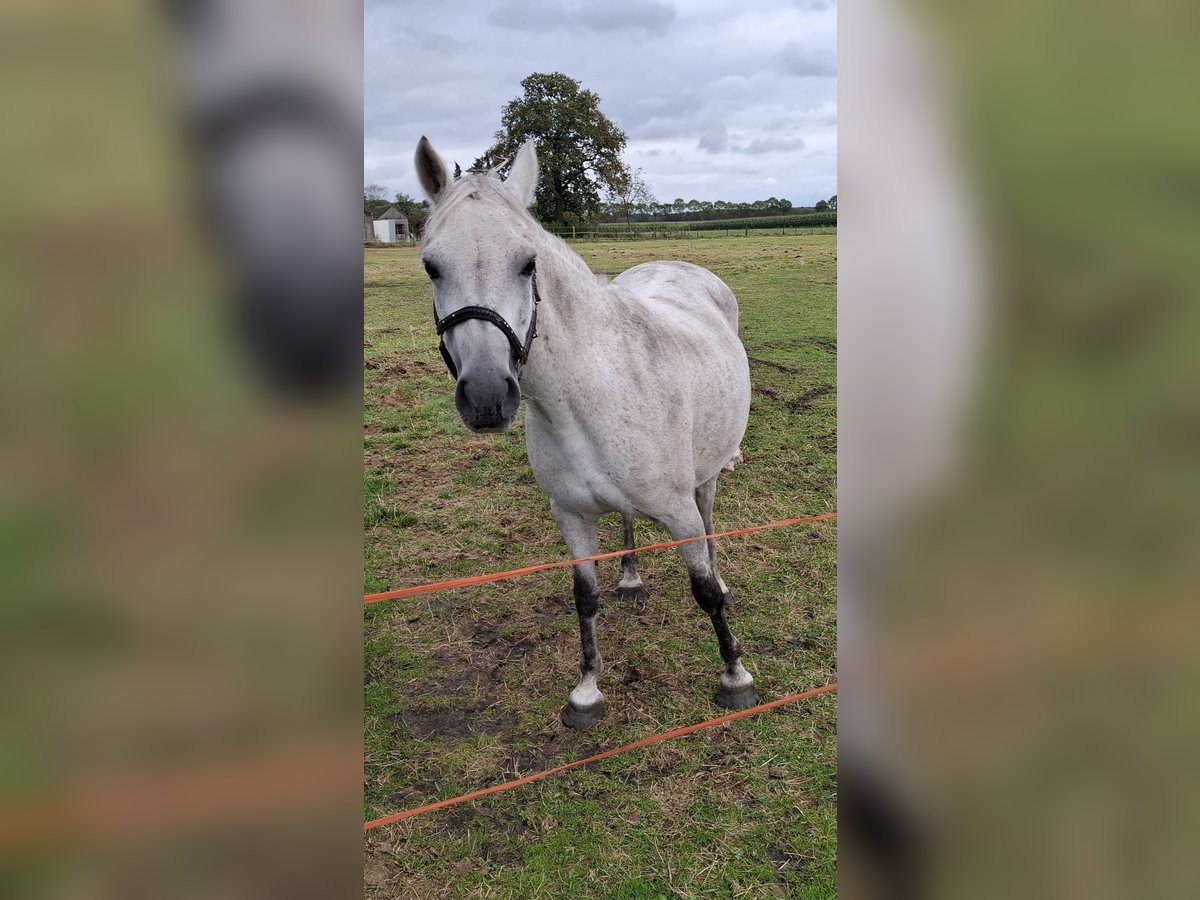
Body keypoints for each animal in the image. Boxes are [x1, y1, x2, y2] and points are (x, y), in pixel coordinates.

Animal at [412, 141, 748, 734]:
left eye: (528, 264)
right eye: (432, 266)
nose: (486, 396)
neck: (589, 394)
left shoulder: (679, 512)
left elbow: (704, 591)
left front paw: (734, 675)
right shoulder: (570, 513)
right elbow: (584, 597)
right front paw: (588, 691)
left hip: (707, 475)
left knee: (710, 524)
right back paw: (631, 578)